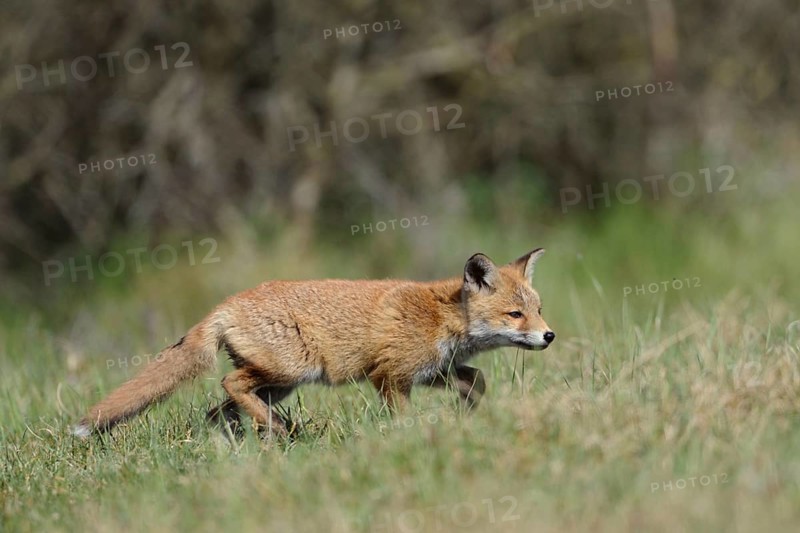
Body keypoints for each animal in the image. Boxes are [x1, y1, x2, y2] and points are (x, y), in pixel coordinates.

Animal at [72, 248, 555, 438]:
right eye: (515, 315)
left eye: (539, 309)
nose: (549, 335)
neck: (442, 317)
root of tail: (225, 305)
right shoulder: (389, 376)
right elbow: (404, 418)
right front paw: (412, 438)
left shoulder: (431, 371)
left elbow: (477, 381)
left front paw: (467, 416)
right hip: (289, 371)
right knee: (230, 386)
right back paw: (276, 431)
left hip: (279, 384)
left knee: (219, 409)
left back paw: (249, 442)